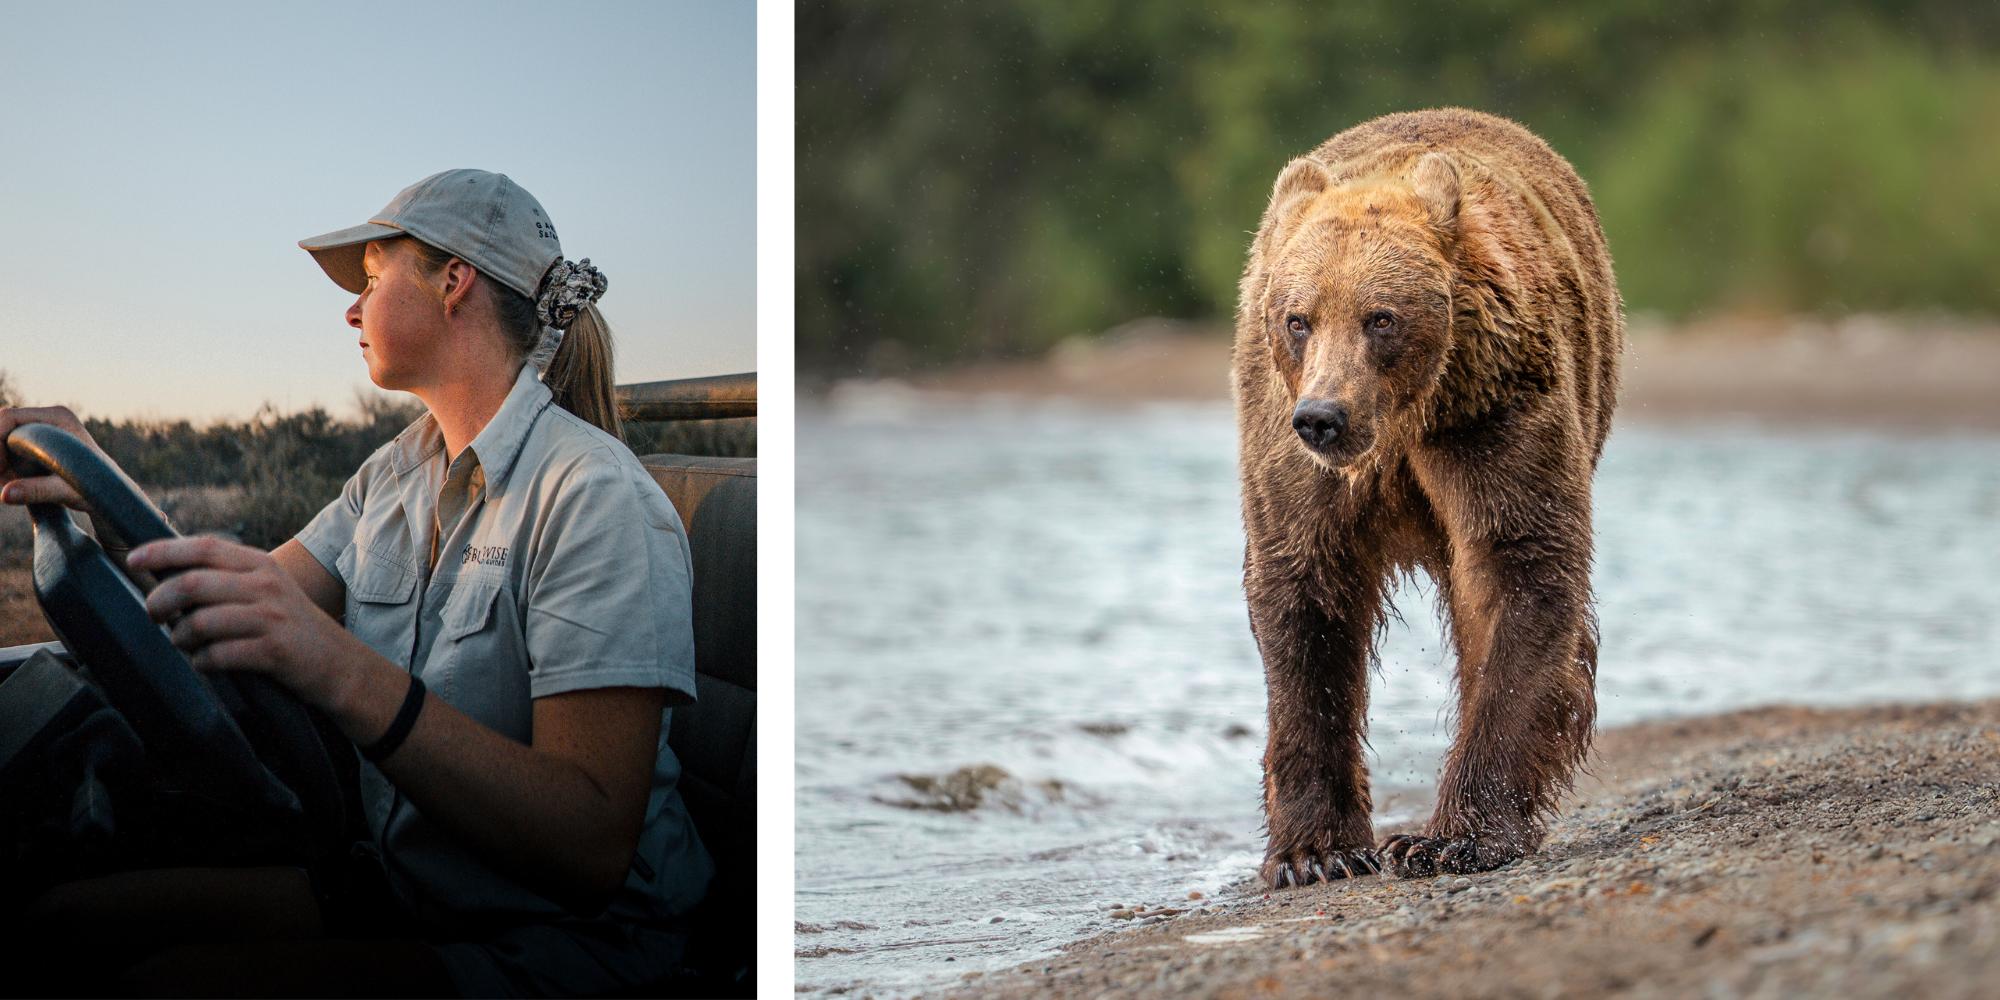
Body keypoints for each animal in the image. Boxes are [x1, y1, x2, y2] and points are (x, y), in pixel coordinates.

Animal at [1232, 108, 1622, 886]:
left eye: (1381, 317)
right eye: (1298, 318)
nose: (1323, 417)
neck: (1401, 428)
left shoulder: (1490, 419)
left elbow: (1517, 571)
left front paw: (1452, 838)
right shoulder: (1292, 462)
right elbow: (1303, 598)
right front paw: (1317, 851)